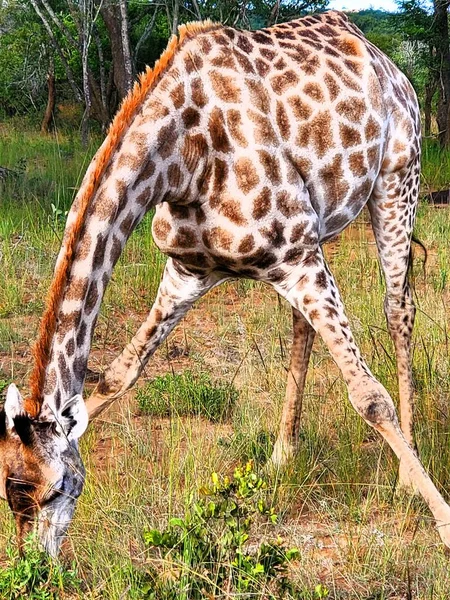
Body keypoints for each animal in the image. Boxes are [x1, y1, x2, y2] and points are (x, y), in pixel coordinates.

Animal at [0, 9, 450, 556]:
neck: (181, 159)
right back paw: (282, 453)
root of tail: (390, 65)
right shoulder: (191, 270)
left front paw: (443, 520)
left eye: (56, 488)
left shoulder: (296, 252)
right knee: (304, 324)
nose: (35, 565)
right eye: (9, 493)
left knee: (398, 307)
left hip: (397, 179)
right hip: (319, 234)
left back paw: (406, 472)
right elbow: (118, 375)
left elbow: (368, 396)